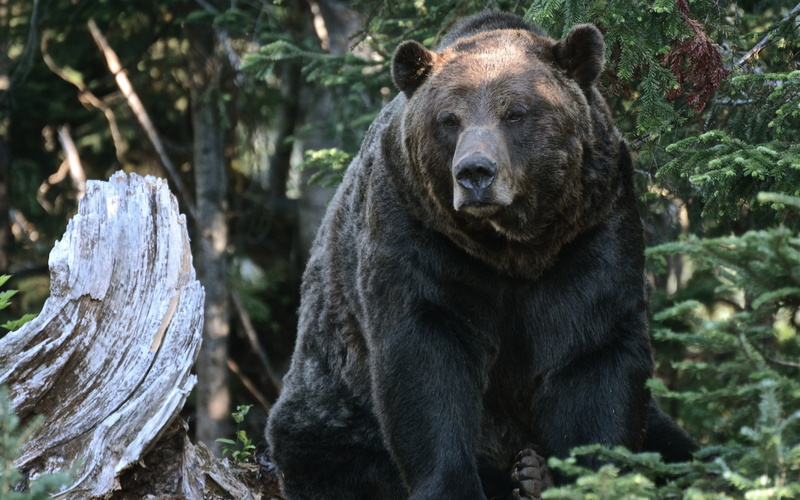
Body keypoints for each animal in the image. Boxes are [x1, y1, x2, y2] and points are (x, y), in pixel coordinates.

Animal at [266, 11, 696, 500]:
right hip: (333, 406)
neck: (514, 246)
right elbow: (425, 360)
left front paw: (590, 477)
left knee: (678, 446)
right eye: (449, 119)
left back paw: (535, 471)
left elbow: (596, 356)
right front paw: (453, 482)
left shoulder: (591, 234)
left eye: (516, 113)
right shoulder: (421, 236)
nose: (474, 172)